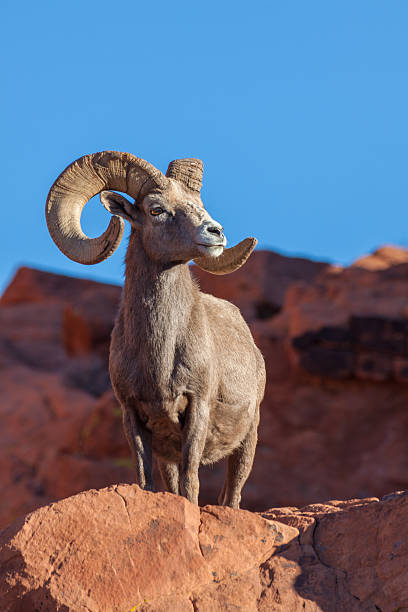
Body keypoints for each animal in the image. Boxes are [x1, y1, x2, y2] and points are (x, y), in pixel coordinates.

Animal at [46, 152, 266, 506]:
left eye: (198, 204)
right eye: (157, 210)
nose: (215, 233)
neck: (159, 356)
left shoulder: (197, 408)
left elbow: (191, 481)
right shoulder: (135, 417)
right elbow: (146, 481)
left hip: (248, 439)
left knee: (232, 495)